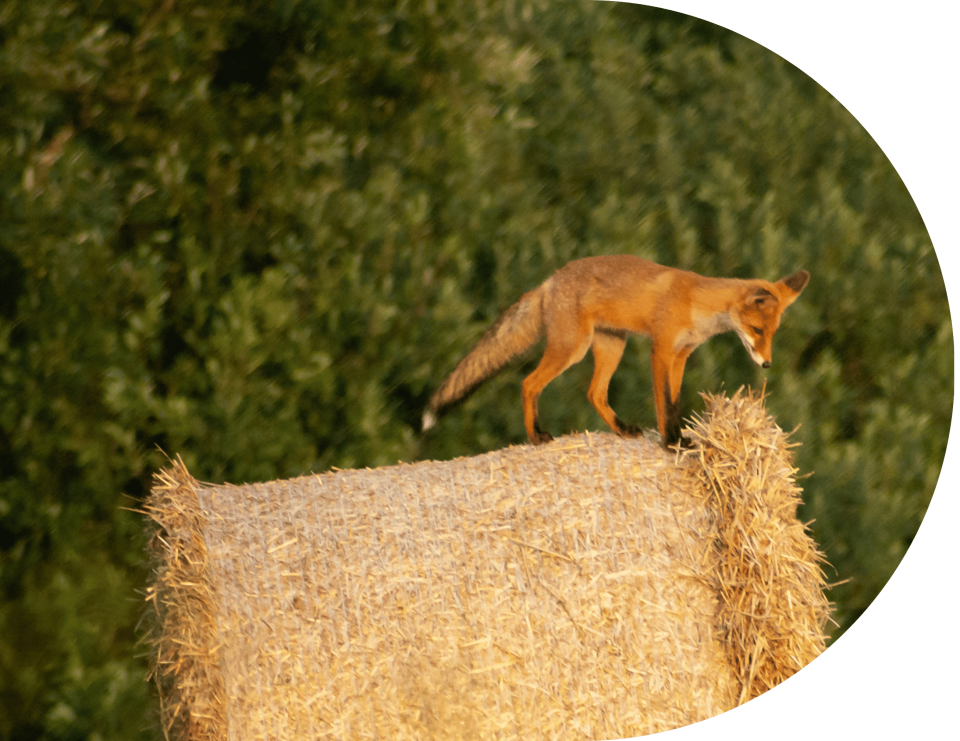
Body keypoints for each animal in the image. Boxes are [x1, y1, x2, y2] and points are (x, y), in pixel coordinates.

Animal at [422, 255, 809, 448]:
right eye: (757, 331)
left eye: (772, 334)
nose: (767, 364)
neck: (697, 304)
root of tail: (550, 280)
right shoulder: (661, 350)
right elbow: (663, 403)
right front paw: (671, 442)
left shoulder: (682, 355)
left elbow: (675, 401)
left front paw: (680, 438)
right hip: (572, 348)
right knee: (529, 384)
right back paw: (536, 436)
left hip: (613, 346)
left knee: (595, 393)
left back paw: (622, 429)